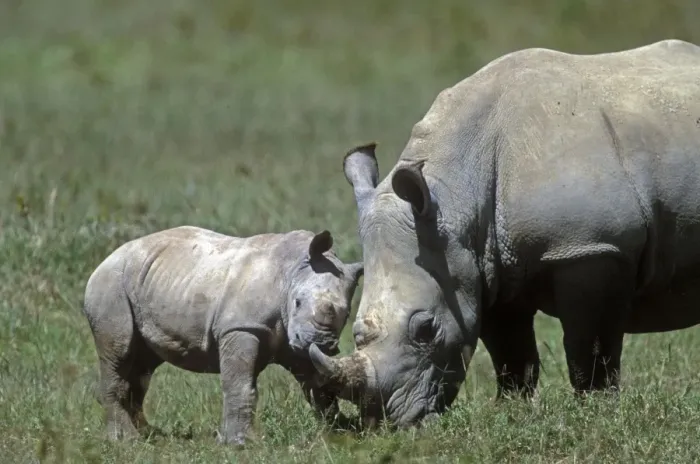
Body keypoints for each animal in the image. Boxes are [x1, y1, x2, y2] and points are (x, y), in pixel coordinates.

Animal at [82, 225, 363, 445]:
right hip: (111, 286)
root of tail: (105, 260)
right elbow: (239, 383)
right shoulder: (241, 326)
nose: (322, 343)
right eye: (298, 302)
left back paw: (150, 435)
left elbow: (318, 385)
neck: (293, 269)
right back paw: (125, 440)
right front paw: (240, 444)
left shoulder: (294, 340)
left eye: (347, 315)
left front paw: (341, 432)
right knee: (120, 354)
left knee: (143, 366)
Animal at [308, 39, 700, 427]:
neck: (454, 200)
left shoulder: (591, 245)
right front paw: (510, 410)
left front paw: (596, 410)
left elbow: (590, 347)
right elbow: (511, 352)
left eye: (425, 329)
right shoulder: (484, 261)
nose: (388, 423)